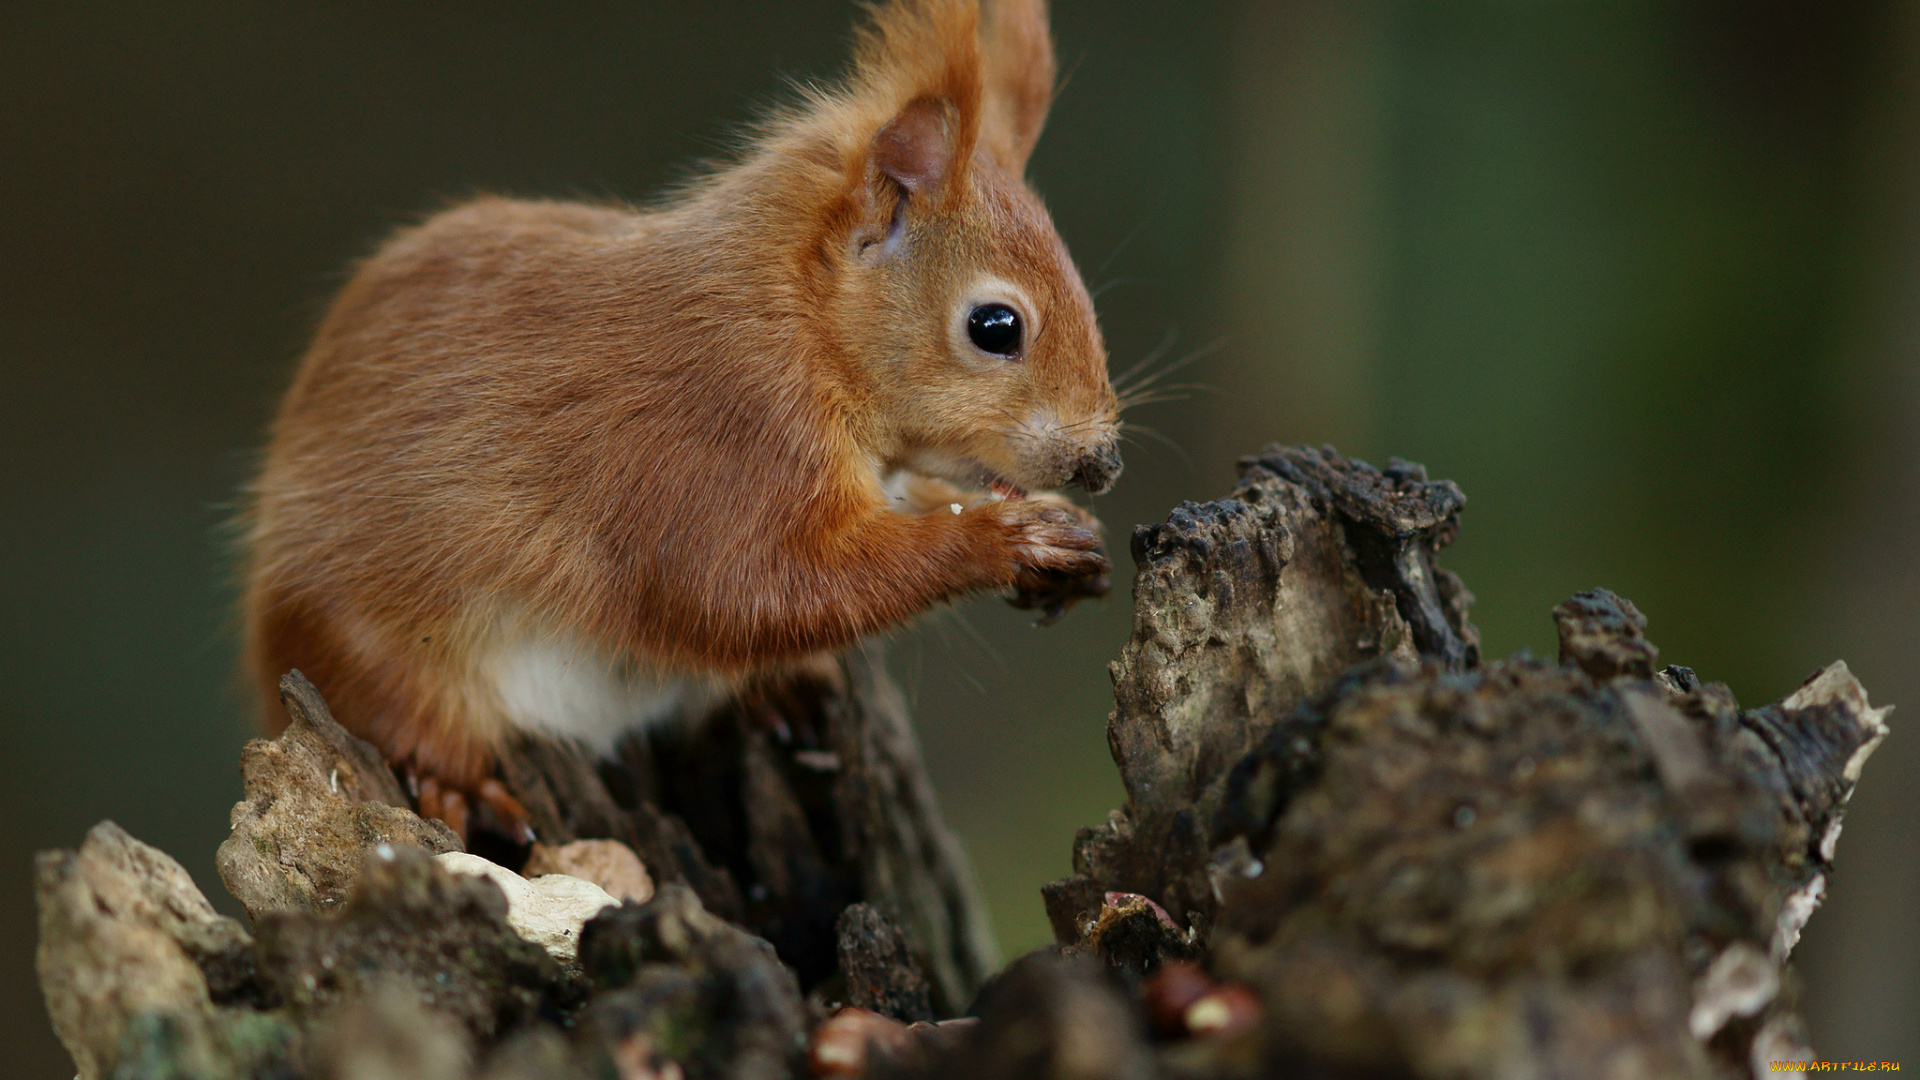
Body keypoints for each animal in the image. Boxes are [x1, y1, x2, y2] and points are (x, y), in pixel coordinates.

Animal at [236, 0, 1121, 834]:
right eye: (995, 327)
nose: (1100, 465)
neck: (801, 326)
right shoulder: (720, 436)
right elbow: (749, 591)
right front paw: (1004, 539)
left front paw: (1067, 535)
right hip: (368, 649)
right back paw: (459, 787)